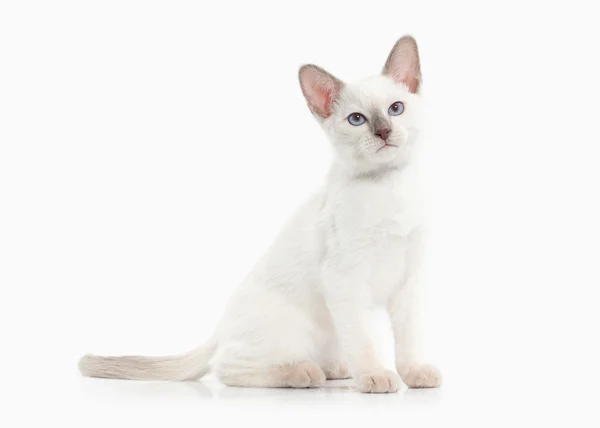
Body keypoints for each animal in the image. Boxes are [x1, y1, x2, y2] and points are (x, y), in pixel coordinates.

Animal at [79, 35, 440, 392]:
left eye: (396, 109)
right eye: (357, 119)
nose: (383, 131)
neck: (389, 186)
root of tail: (220, 324)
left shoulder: (409, 282)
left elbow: (409, 340)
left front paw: (416, 373)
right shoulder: (345, 279)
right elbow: (365, 341)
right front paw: (376, 375)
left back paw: (335, 369)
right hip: (293, 330)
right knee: (227, 369)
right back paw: (303, 373)